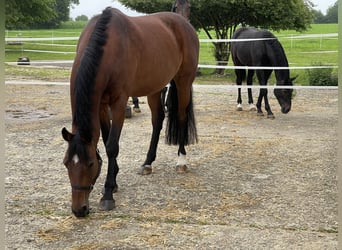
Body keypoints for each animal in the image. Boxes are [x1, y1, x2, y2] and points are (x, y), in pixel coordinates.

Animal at [61, 6, 199, 216]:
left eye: (91, 163)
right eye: (66, 163)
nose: (79, 210)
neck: (108, 47)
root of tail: (184, 23)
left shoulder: (118, 103)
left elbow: (112, 146)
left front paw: (108, 193)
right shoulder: (102, 105)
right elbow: (106, 138)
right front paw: (114, 182)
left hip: (183, 81)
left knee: (181, 117)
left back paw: (181, 161)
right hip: (155, 87)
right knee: (157, 121)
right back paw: (147, 163)